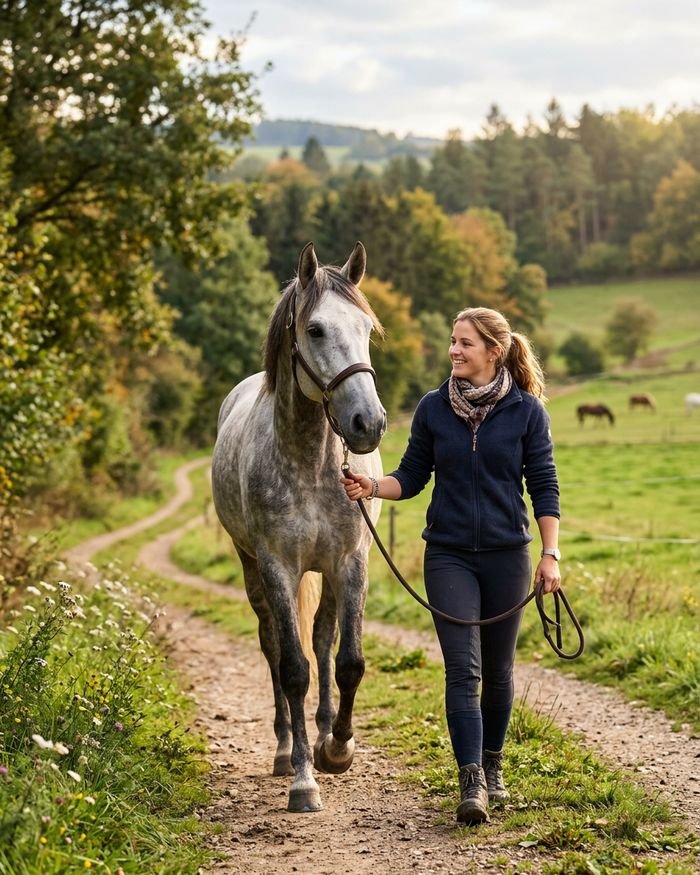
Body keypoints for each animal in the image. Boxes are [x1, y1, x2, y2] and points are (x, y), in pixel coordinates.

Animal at [211, 242, 386, 813]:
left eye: (366, 327)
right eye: (315, 329)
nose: (368, 424)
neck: (310, 461)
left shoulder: (351, 562)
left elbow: (347, 660)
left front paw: (339, 750)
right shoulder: (278, 567)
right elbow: (292, 667)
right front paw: (305, 779)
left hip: (327, 572)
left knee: (325, 638)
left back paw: (327, 731)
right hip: (253, 570)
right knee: (273, 645)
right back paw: (287, 748)